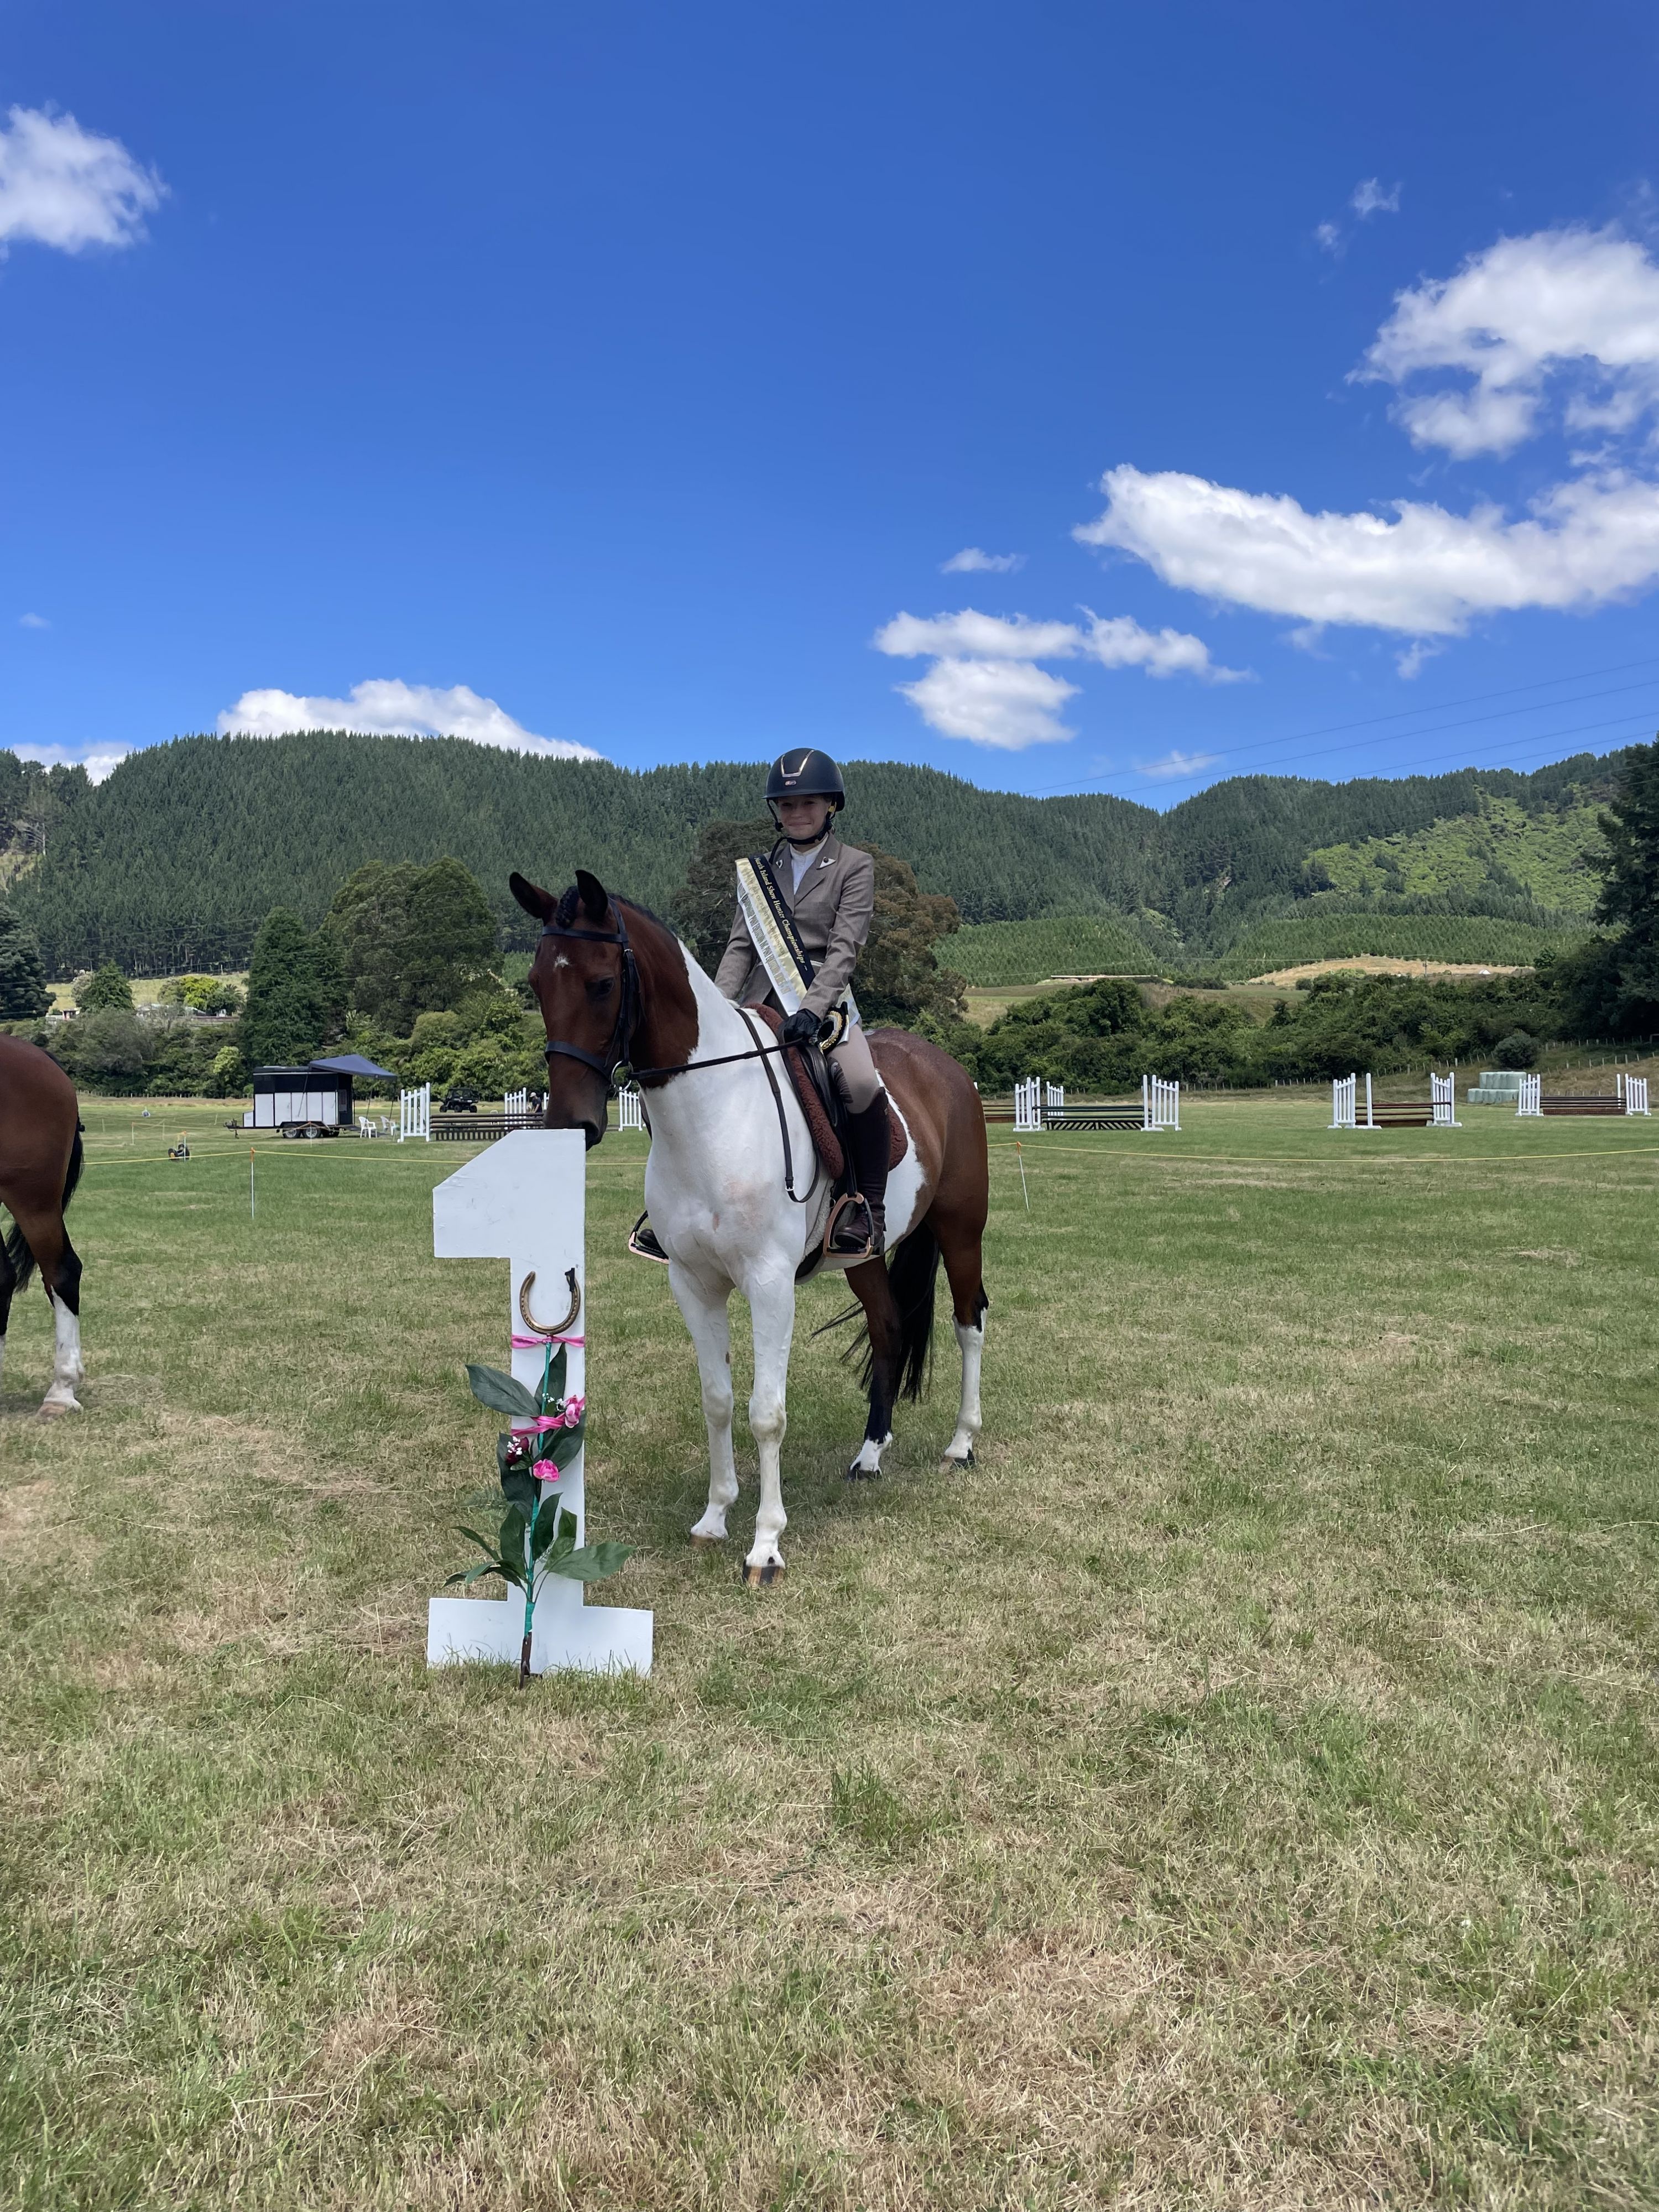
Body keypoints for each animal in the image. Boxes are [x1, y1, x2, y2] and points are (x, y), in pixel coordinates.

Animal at [510, 868, 990, 1584]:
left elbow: (766, 1414)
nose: (571, 1125)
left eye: (600, 983)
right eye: (538, 982)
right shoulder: (693, 1282)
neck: (713, 1111)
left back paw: (961, 1444)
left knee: (968, 1322)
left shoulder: (769, 1282)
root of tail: (947, 1067)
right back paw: (870, 1456)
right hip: (865, 1256)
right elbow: (718, 1399)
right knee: (888, 1328)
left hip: (961, 1230)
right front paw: (714, 1518)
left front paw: (766, 1544)